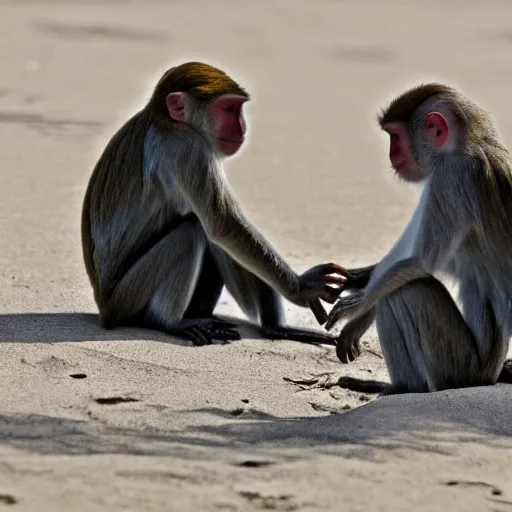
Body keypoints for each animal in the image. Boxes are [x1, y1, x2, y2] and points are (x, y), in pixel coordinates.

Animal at [82, 62, 348, 346]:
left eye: (237, 108)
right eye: (228, 109)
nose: (243, 126)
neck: (166, 121)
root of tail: (104, 308)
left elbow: (224, 227)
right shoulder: (188, 147)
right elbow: (223, 224)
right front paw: (301, 288)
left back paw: (273, 328)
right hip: (127, 297)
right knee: (191, 230)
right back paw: (167, 323)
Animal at [324, 84, 512, 394]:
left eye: (395, 137)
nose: (392, 156)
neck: (469, 144)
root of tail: (489, 376)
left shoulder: (451, 178)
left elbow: (421, 263)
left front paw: (357, 308)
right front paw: (359, 283)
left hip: (459, 367)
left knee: (407, 291)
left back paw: (401, 388)